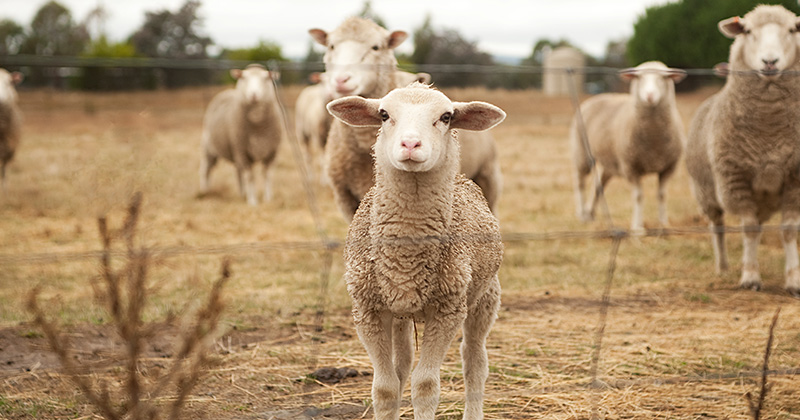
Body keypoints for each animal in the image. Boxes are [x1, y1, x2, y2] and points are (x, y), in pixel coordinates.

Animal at [198, 63, 282, 205]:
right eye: (244, 77)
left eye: (266, 78)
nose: (253, 95)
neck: (257, 126)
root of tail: (227, 91)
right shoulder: (243, 152)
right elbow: (250, 177)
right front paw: (253, 201)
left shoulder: (272, 152)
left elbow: (267, 175)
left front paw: (268, 199)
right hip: (210, 148)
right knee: (206, 169)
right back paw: (205, 192)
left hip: (234, 150)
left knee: (238, 171)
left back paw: (242, 193)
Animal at [310, 17, 504, 220]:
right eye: (331, 46)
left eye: (376, 47)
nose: (341, 80)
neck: (363, 146)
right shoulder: (345, 198)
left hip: (489, 177)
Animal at [326, 82, 506, 420]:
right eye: (384, 114)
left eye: (446, 117)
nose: (410, 143)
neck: (406, 254)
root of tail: (463, 178)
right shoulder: (367, 310)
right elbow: (384, 388)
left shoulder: (448, 310)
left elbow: (425, 387)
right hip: (398, 312)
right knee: (402, 365)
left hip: (485, 295)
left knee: (475, 362)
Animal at [568, 60, 688, 230]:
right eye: (639, 78)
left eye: (663, 78)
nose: (649, 96)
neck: (654, 140)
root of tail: (597, 97)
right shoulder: (631, 167)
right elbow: (638, 196)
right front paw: (637, 228)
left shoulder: (668, 168)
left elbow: (662, 195)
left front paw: (664, 224)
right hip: (582, 153)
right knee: (579, 182)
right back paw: (581, 214)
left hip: (610, 163)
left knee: (598, 185)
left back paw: (590, 213)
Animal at [684, 4, 800, 296]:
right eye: (747, 31)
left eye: (792, 30)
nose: (770, 62)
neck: (769, 130)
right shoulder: (736, 180)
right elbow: (748, 229)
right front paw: (749, 278)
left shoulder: (795, 181)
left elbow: (789, 230)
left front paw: (793, 280)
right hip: (706, 192)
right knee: (718, 228)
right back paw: (723, 267)